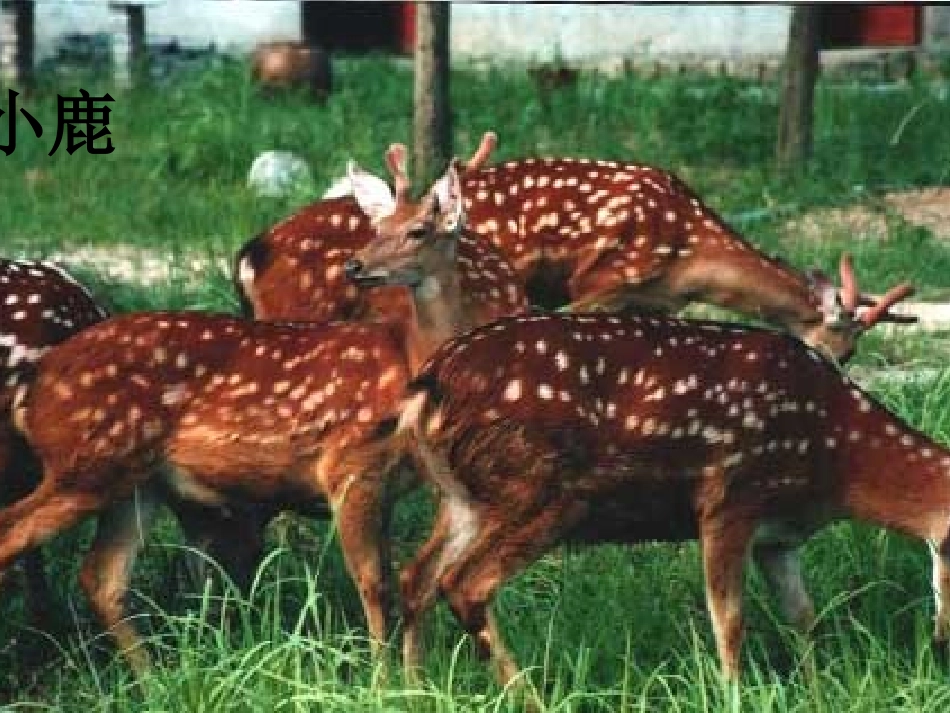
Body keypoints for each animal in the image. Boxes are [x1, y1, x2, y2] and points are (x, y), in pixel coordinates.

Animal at [393, 295, 946, 694]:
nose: (942, 639)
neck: (834, 455)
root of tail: (428, 385)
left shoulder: (779, 535)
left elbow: (803, 617)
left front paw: (816, 692)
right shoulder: (730, 495)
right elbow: (729, 619)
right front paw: (734, 695)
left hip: (464, 498)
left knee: (416, 576)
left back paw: (416, 689)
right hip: (539, 490)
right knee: (464, 584)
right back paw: (530, 697)